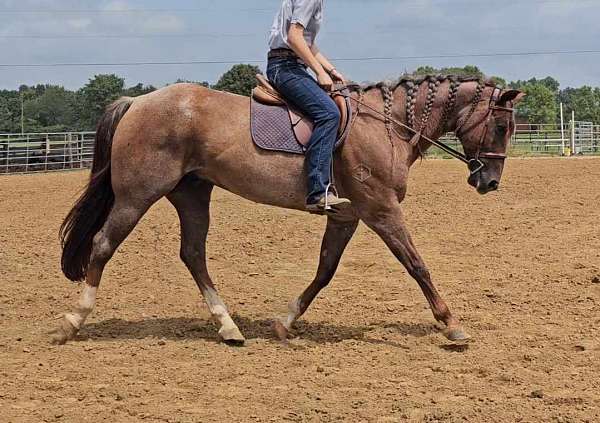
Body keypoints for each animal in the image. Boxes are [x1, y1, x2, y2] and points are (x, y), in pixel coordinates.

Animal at [49, 73, 524, 346]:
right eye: (502, 126)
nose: (490, 182)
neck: (384, 127)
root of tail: (137, 101)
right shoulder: (381, 210)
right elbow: (417, 265)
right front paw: (452, 324)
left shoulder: (347, 215)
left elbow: (325, 270)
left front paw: (285, 321)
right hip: (137, 195)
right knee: (103, 244)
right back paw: (73, 321)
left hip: (192, 195)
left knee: (193, 254)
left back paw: (229, 327)